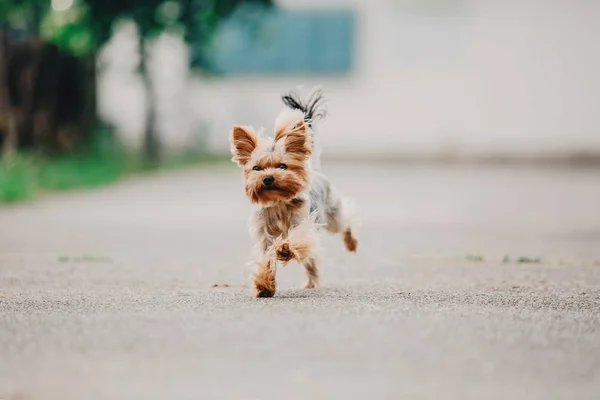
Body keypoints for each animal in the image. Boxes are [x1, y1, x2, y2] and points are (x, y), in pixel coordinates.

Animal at [230, 88, 358, 296]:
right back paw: (310, 282)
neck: (278, 202)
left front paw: (284, 249)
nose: (268, 178)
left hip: (332, 214)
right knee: (311, 261)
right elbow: (266, 258)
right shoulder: (264, 234)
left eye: (283, 166)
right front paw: (264, 285)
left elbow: (297, 239)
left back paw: (351, 242)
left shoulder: (303, 224)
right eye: (256, 168)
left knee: (345, 221)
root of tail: (315, 170)